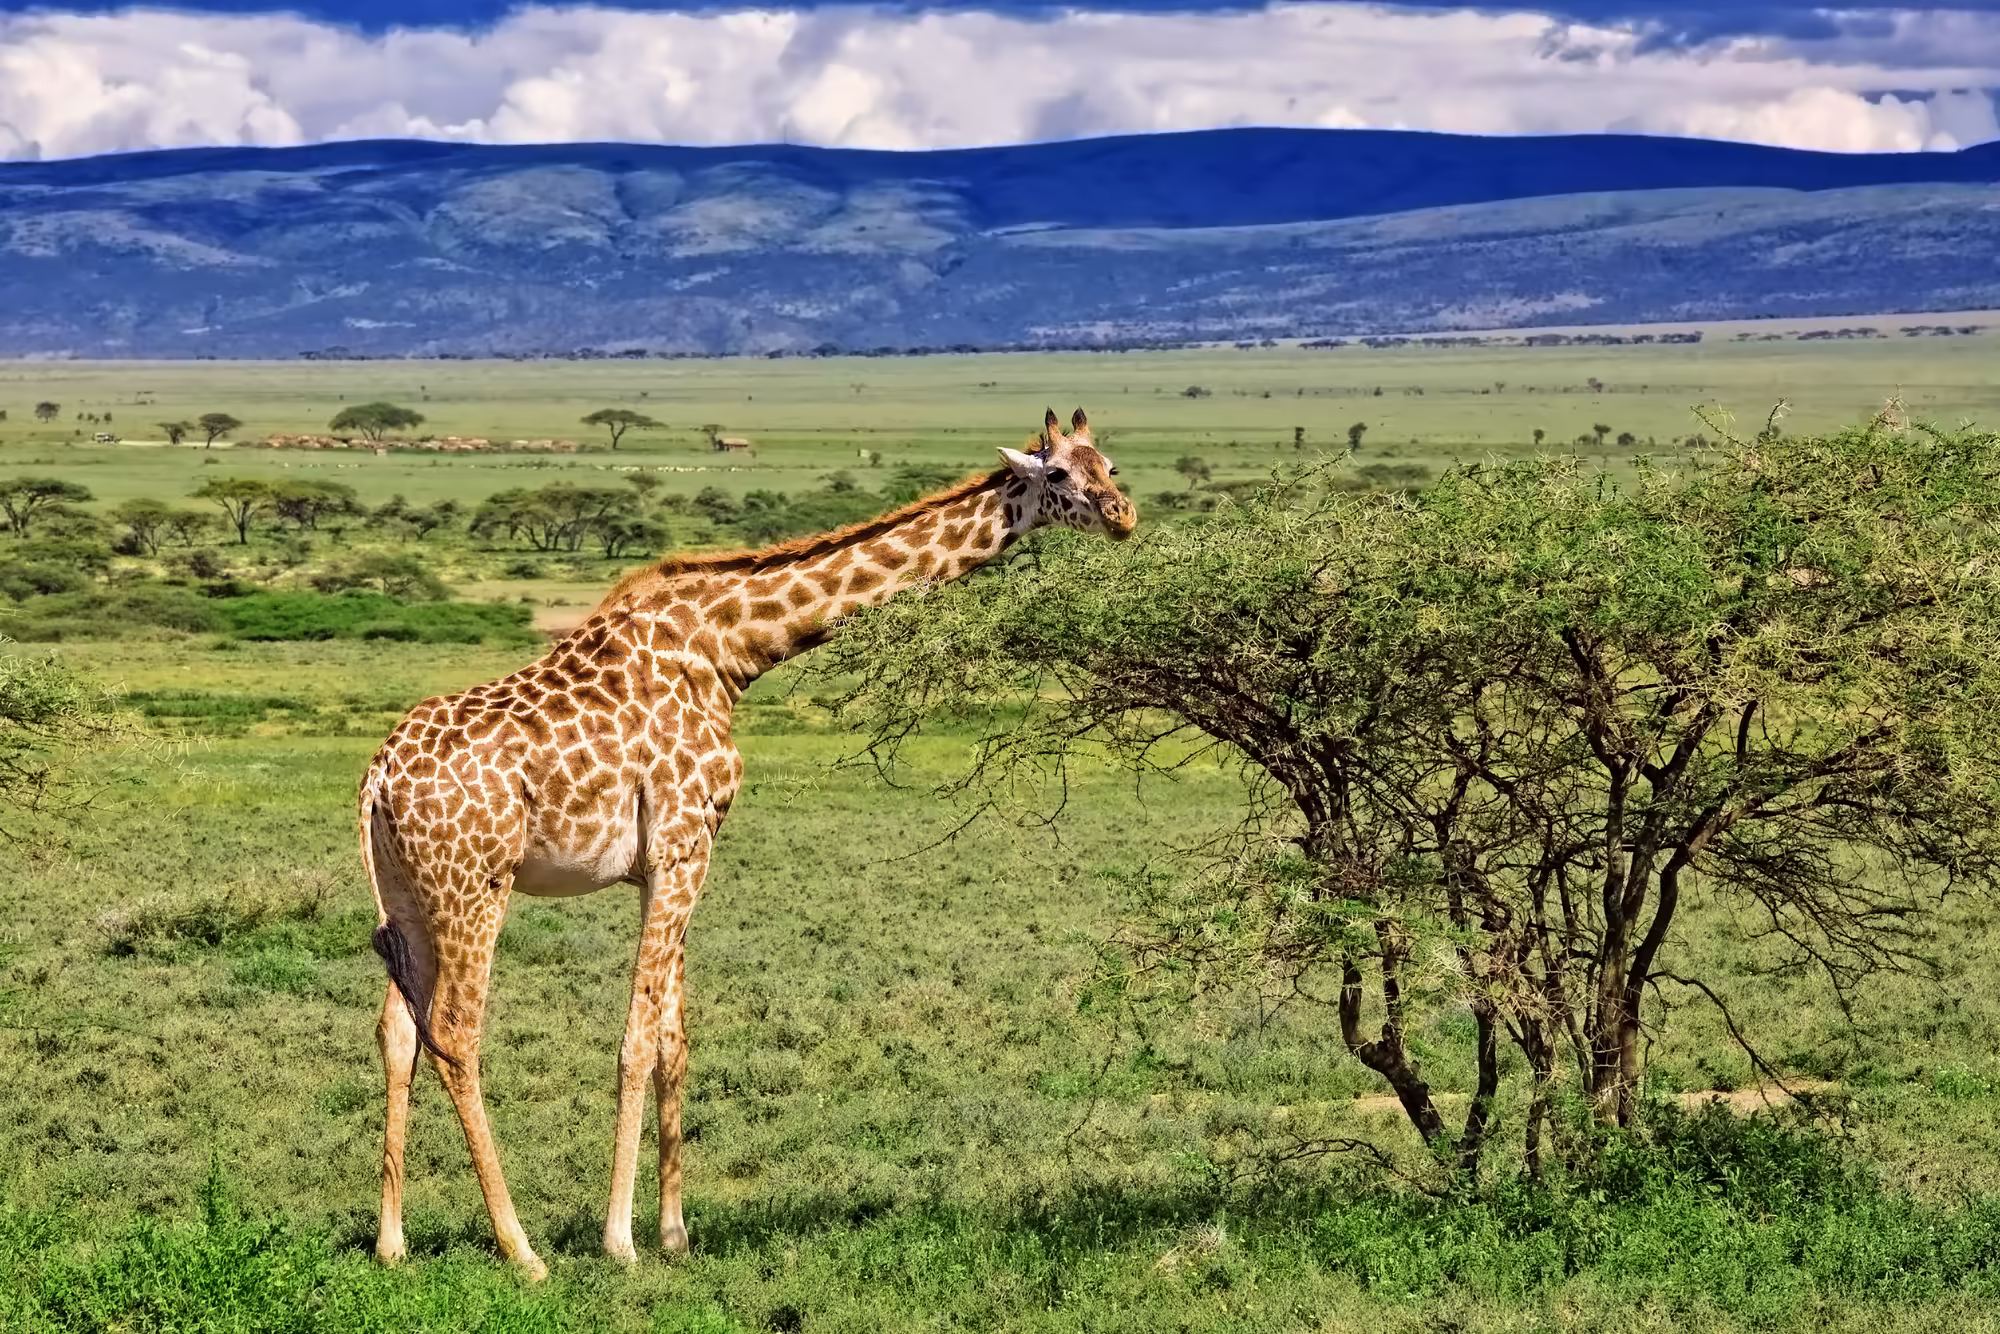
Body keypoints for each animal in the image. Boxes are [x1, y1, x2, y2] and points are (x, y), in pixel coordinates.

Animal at [360, 407, 1136, 1278]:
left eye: (1108, 464)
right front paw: (621, 1241)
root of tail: (378, 778)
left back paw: (391, 1243)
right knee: (456, 1034)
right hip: (475, 885)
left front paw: (674, 1232)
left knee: (398, 1030)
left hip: (409, 893)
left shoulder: (672, 861)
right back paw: (522, 1251)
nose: (1124, 516)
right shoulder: (681, 845)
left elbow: (675, 1040)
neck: (731, 651)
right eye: (1060, 476)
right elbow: (636, 1040)